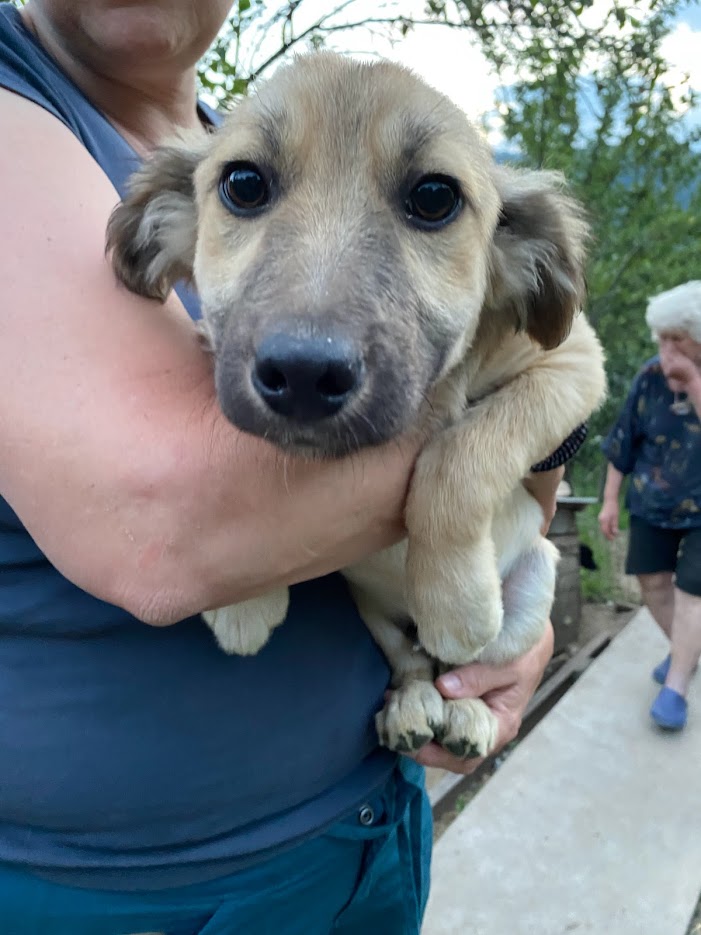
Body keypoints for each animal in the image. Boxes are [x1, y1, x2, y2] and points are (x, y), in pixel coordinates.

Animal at [106, 54, 604, 760]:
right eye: (243, 183)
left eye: (434, 197)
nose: (304, 375)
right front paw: (243, 604)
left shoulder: (573, 366)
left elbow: (464, 452)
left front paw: (454, 601)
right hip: (374, 614)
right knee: (416, 663)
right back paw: (413, 707)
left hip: (537, 579)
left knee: (467, 668)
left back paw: (467, 711)